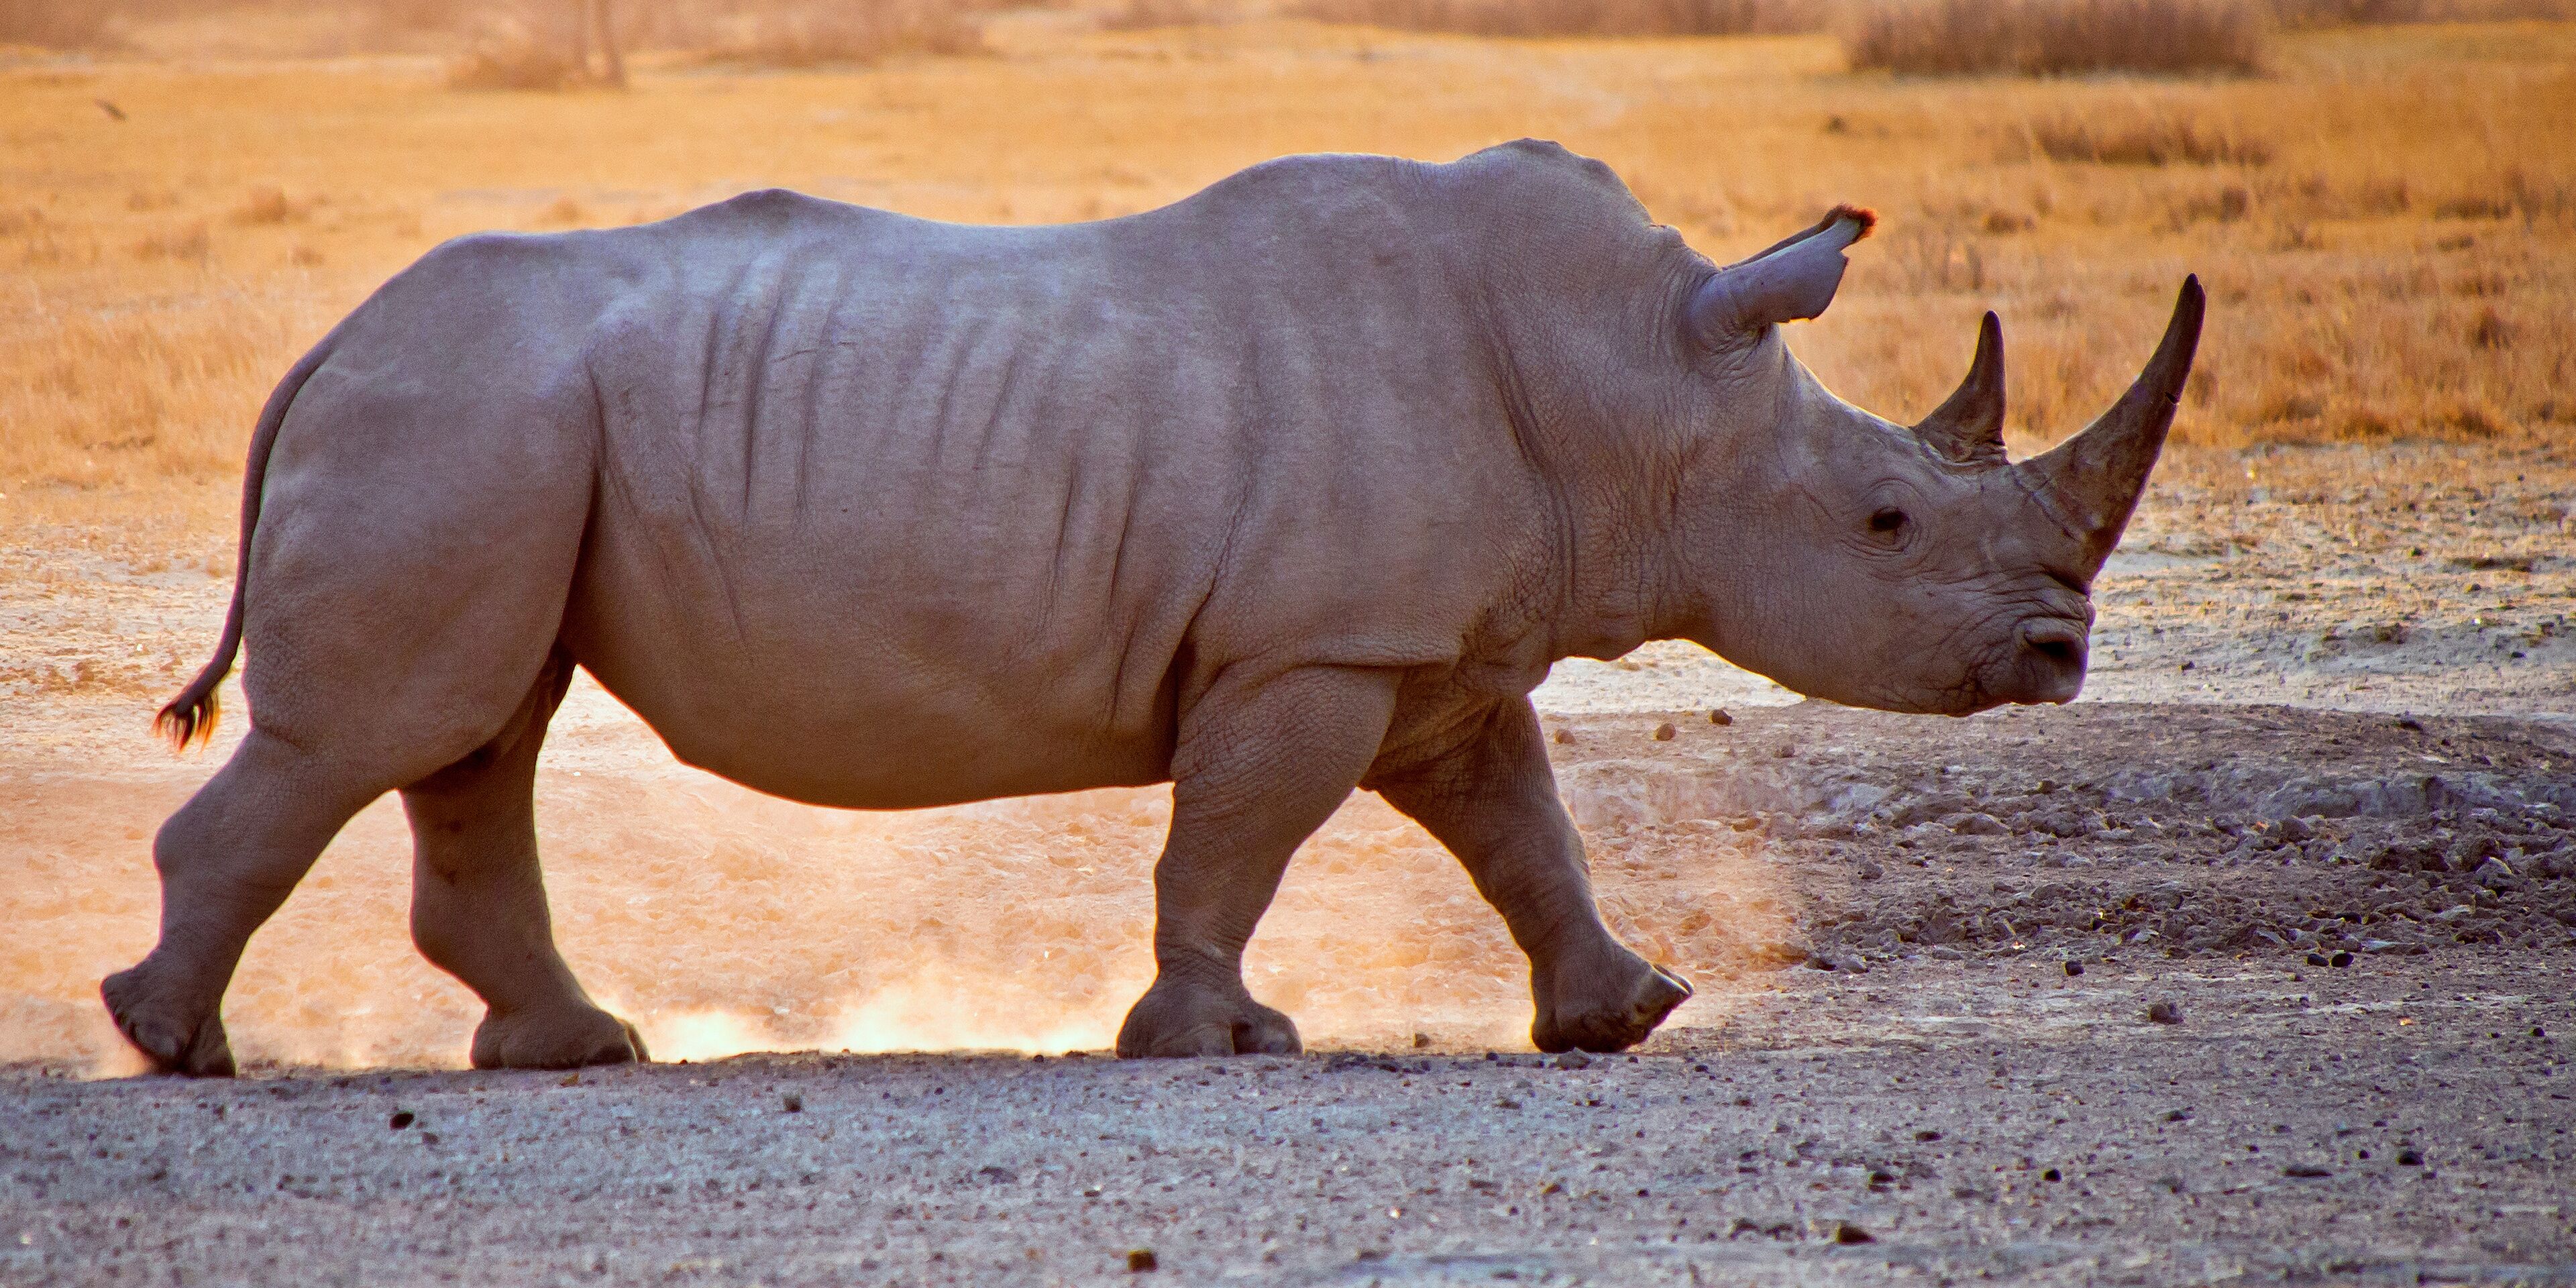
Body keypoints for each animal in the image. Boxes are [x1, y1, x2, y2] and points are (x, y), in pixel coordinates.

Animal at [103, 140, 2200, 1075]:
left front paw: (1624, 1015)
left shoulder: (1428, 646)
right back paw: (174, 1047)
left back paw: (574, 1053)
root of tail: (326, 343)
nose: (2059, 657)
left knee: (478, 731)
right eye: (1885, 519)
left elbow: (1520, 830)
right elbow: (1239, 837)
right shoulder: (1311, 641)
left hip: (499, 425)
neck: (1634, 388)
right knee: (389, 730)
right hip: (462, 414)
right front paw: (1217, 1040)